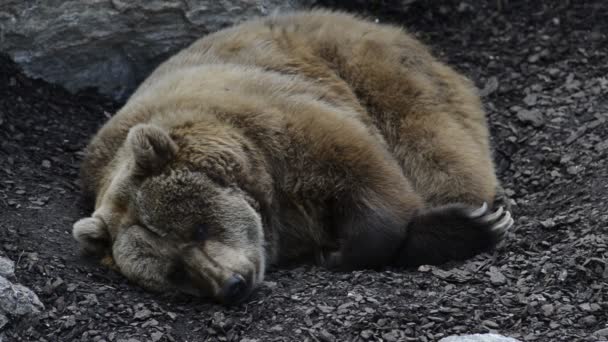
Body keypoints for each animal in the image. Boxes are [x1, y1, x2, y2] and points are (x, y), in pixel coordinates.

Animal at [75, 10, 512, 304]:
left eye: (197, 228)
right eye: (175, 271)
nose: (231, 284)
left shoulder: (278, 125)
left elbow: (365, 172)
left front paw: (341, 250)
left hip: (375, 68)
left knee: (433, 142)